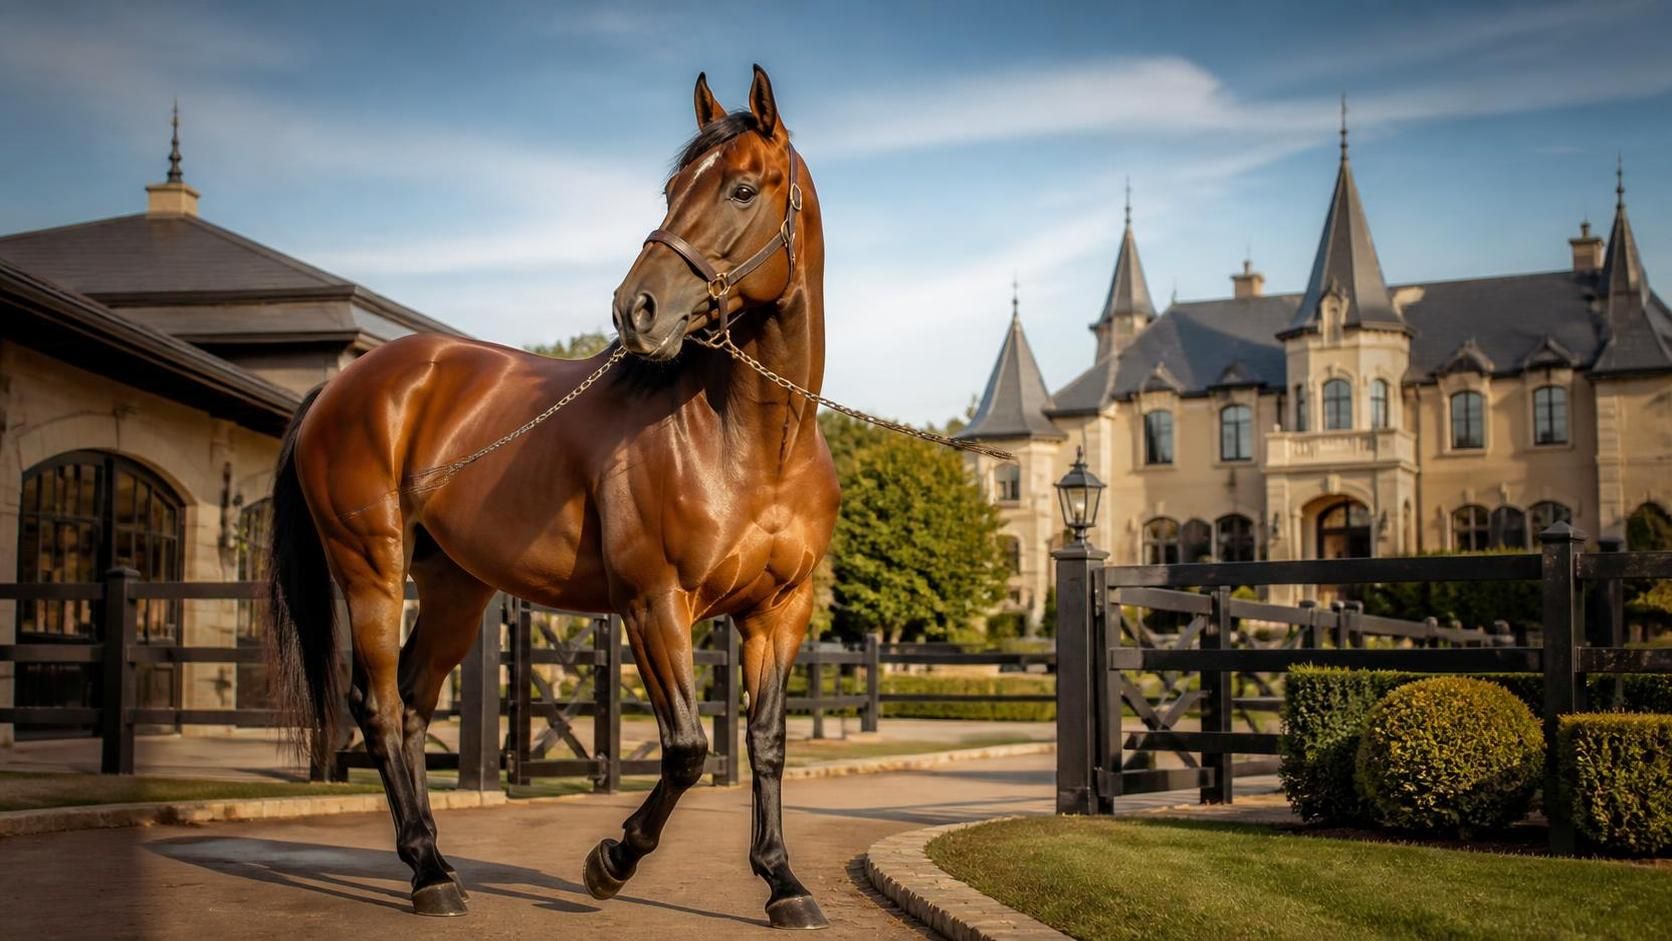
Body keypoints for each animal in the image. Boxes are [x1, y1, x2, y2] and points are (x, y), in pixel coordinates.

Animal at [266, 65, 839, 928]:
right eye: (671, 188)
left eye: (742, 188)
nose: (636, 308)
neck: (752, 443)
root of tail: (344, 385)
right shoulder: (654, 602)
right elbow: (687, 748)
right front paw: (611, 861)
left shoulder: (780, 610)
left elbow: (766, 741)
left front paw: (784, 882)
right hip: (371, 569)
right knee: (379, 706)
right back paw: (429, 874)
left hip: (454, 587)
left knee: (412, 704)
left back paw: (435, 861)